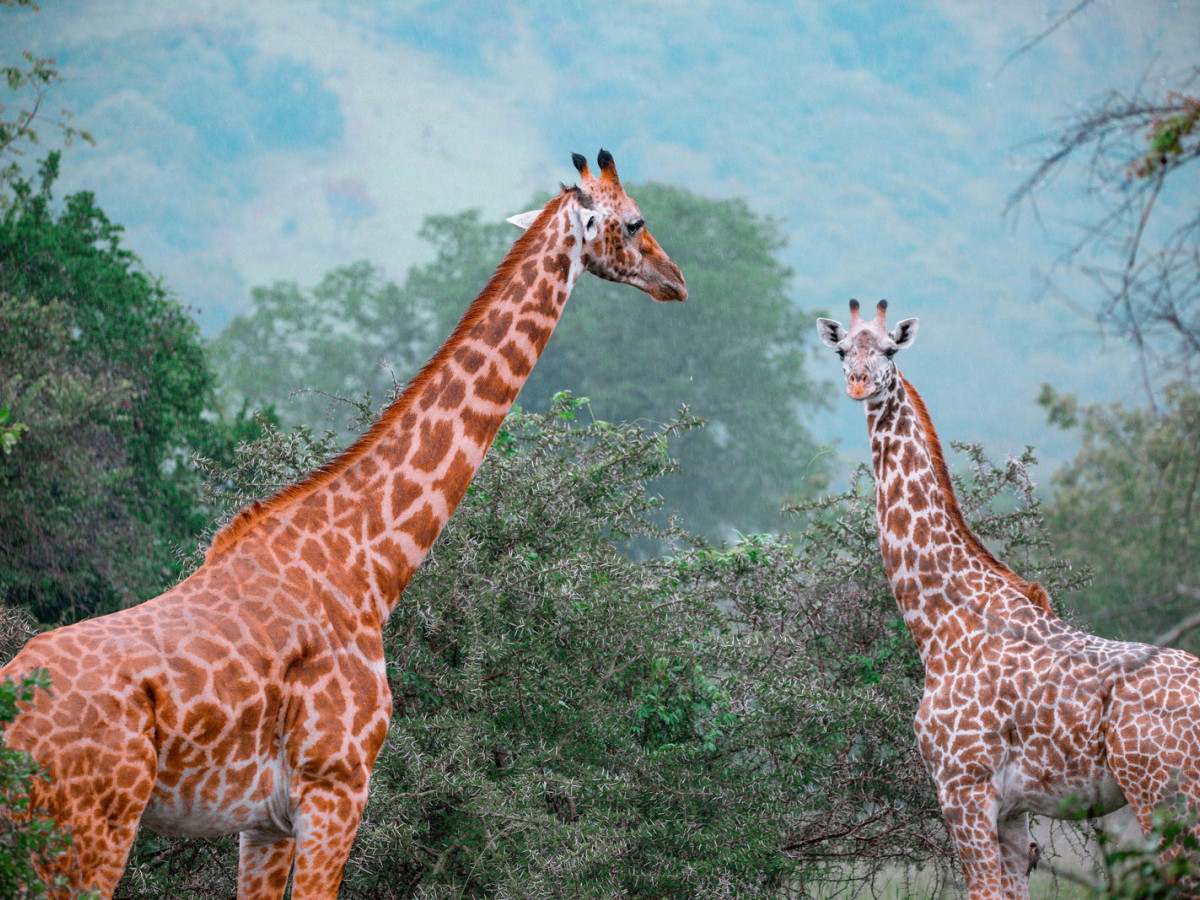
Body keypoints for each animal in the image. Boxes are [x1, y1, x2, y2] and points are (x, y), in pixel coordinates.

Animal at [0, 150, 686, 899]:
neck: (368, 559)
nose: (675, 281)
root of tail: (14, 715)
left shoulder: (263, 821)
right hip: (93, 824)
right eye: (635, 221)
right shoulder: (336, 787)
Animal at [817, 299, 1200, 899]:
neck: (939, 623)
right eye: (840, 351)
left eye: (890, 350)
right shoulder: (1014, 813)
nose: (859, 383)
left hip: (1161, 794)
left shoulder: (963, 788)